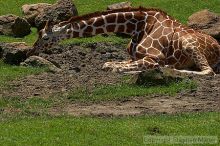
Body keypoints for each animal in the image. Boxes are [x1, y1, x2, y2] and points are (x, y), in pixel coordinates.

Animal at [27, 6, 220, 76]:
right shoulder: (133, 57)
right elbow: (108, 63)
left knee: (208, 71)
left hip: (188, 43)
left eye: (44, 37)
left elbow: (113, 67)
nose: (31, 51)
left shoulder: (153, 57)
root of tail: (217, 47)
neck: (138, 26)